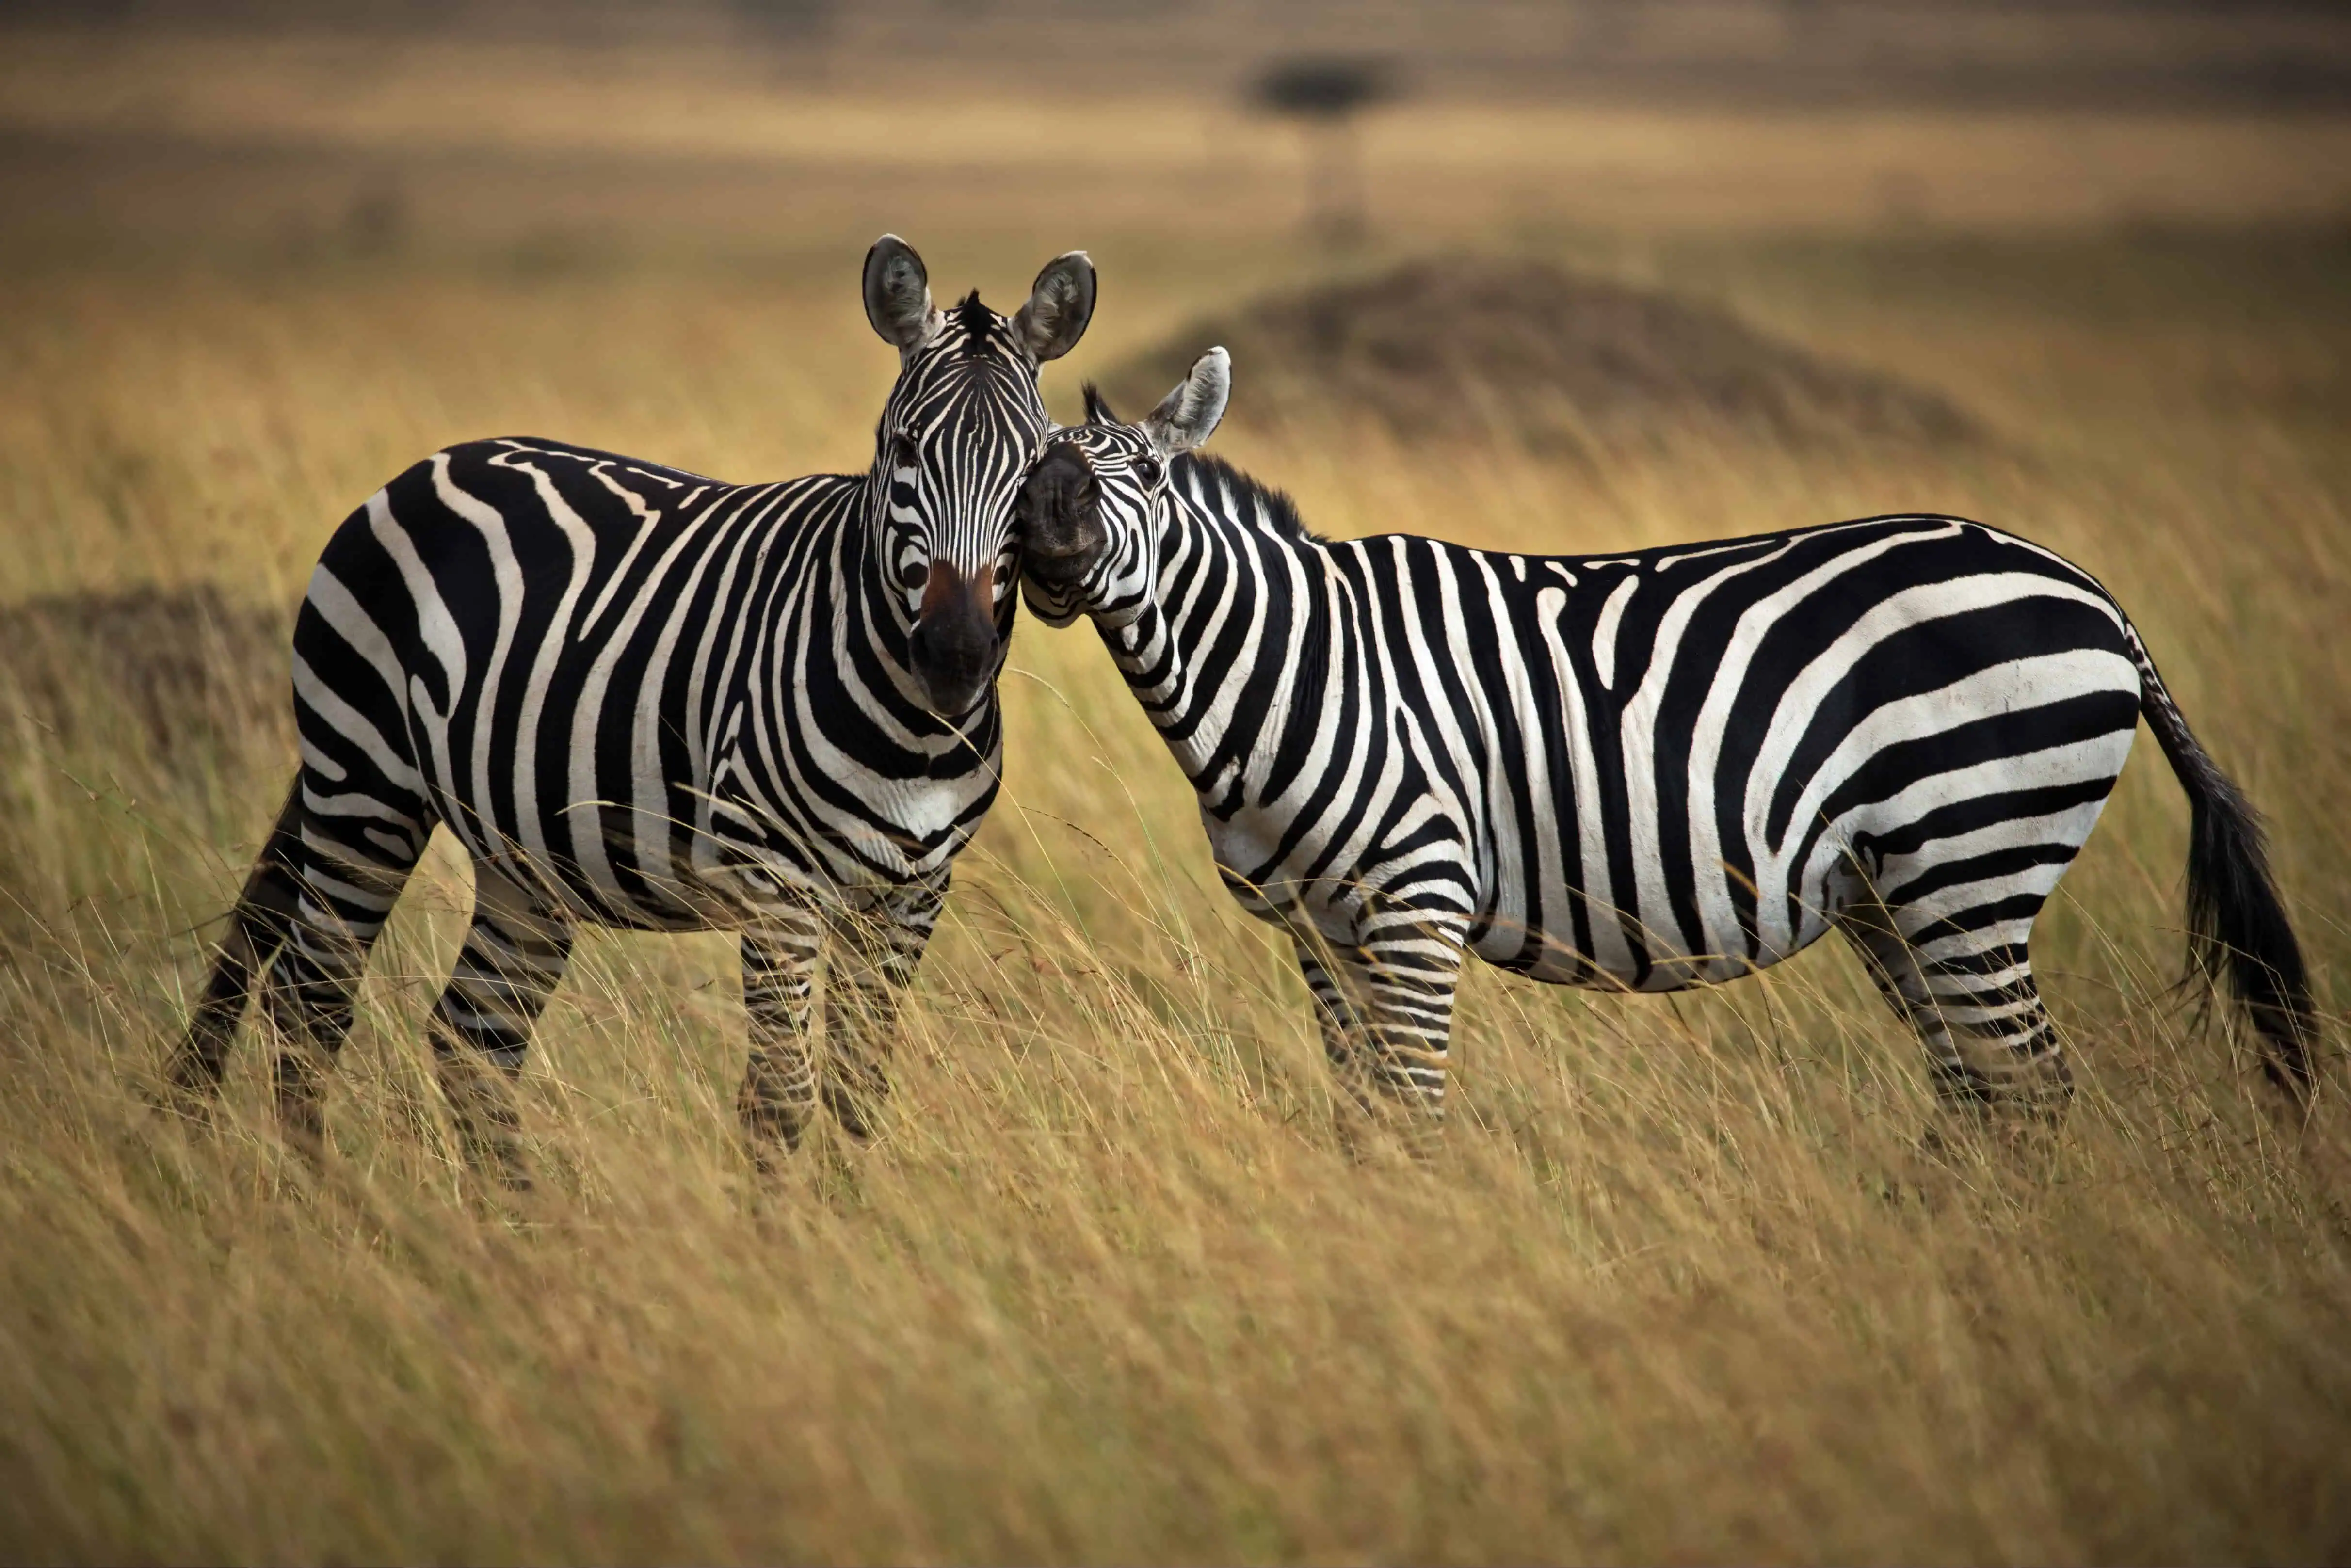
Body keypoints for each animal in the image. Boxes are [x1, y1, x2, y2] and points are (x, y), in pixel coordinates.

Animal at [164, 237, 1097, 1179]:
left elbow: (854, 1095)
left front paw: (854, 1213)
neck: (914, 734)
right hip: (363, 780)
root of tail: (427, 466)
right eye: (905, 448)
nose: (954, 652)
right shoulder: (777, 881)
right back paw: (325, 1195)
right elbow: (780, 1098)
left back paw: (521, 1217)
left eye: (1033, 465)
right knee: (310, 1002)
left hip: (522, 857)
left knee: (472, 1036)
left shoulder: (914, 893)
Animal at [1015, 347, 2317, 1139]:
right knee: (1979, 1087)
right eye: (1031, 467)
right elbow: (1364, 1119)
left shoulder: (1415, 898)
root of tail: (2095, 595)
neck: (1294, 664)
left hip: (1969, 857)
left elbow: (1416, 1113)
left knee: (2029, 1086)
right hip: (1901, 893)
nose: (1047, 526)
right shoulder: (1320, 928)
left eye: (1143, 476)